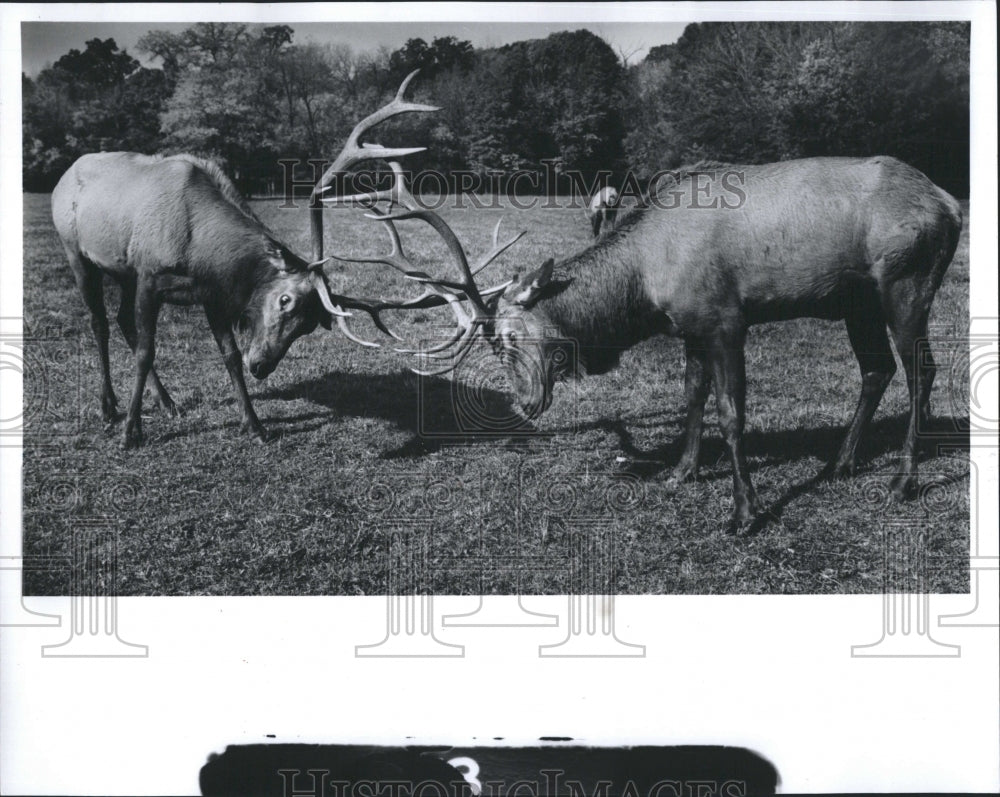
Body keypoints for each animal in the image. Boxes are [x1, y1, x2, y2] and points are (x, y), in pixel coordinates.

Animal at [52, 70, 456, 444]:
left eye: (309, 326)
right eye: (285, 300)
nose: (261, 365)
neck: (198, 248)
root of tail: (64, 175)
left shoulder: (208, 291)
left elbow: (229, 354)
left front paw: (256, 425)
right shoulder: (150, 275)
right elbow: (146, 351)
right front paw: (131, 432)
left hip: (123, 272)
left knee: (122, 319)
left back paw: (167, 402)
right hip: (77, 252)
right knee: (100, 322)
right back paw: (109, 407)